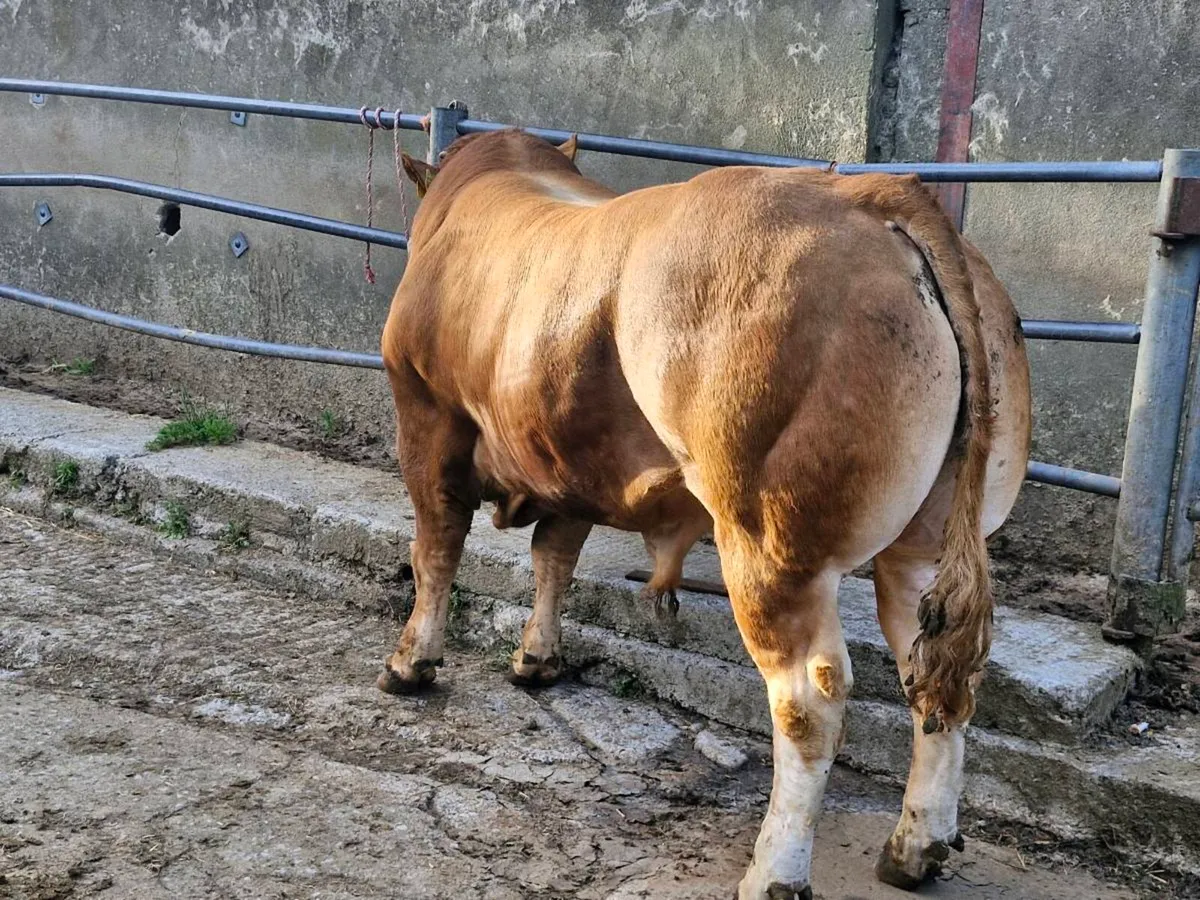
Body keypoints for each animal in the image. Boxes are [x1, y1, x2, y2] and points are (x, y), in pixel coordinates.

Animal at [377, 128, 1031, 899]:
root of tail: (868, 192)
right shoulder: (572, 460)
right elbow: (554, 558)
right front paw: (537, 659)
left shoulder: (426, 418)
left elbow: (436, 550)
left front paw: (410, 663)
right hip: (926, 543)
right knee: (938, 672)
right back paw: (914, 849)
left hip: (769, 538)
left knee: (810, 695)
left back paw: (773, 873)